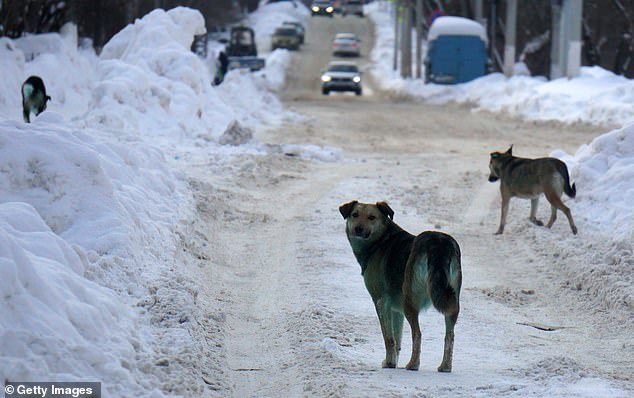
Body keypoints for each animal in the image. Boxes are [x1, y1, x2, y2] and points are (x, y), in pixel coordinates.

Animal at [340, 202, 460, 374]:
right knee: (449, 336)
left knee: (417, 334)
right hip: (452, 302)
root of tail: (438, 244)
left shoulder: (380, 302)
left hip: (410, 301)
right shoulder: (396, 309)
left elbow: (388, 338)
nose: (358, 229)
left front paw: (389, 363)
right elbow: (397, 339)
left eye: (372, 217)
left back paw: (413, 364)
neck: (381, 240)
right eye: (354, 215)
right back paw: (445, 367)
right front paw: (393, 362)